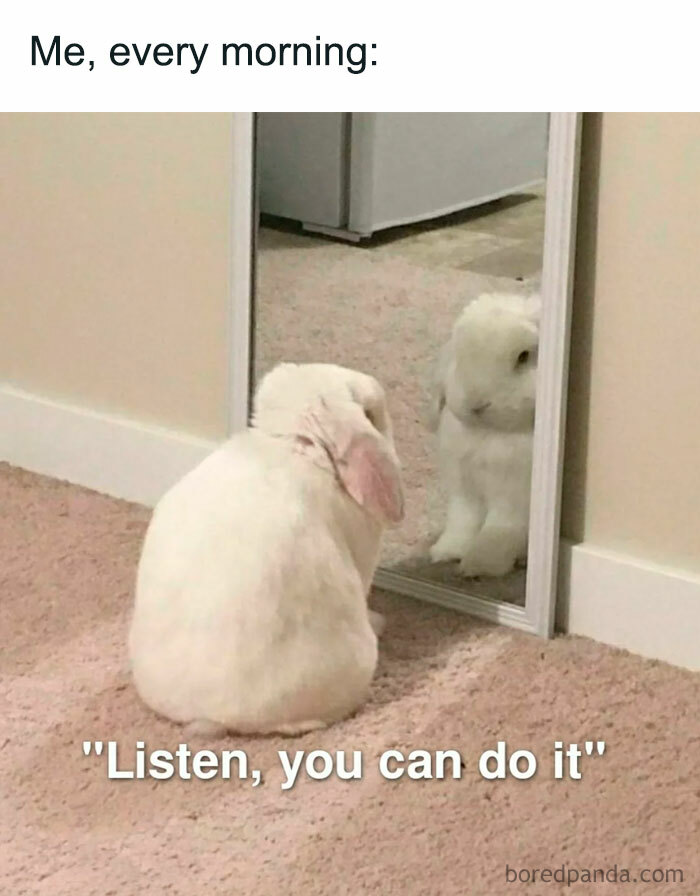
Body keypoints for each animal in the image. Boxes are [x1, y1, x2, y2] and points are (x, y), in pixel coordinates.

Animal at [427, 291, 540, 578]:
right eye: (461, 355)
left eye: (523, 356)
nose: (477, 403)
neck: (490, 432)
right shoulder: (464, 489)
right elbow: (462, 521)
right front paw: (447, 552)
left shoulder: (511, 498)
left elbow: (499, 530)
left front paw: (479, 565)